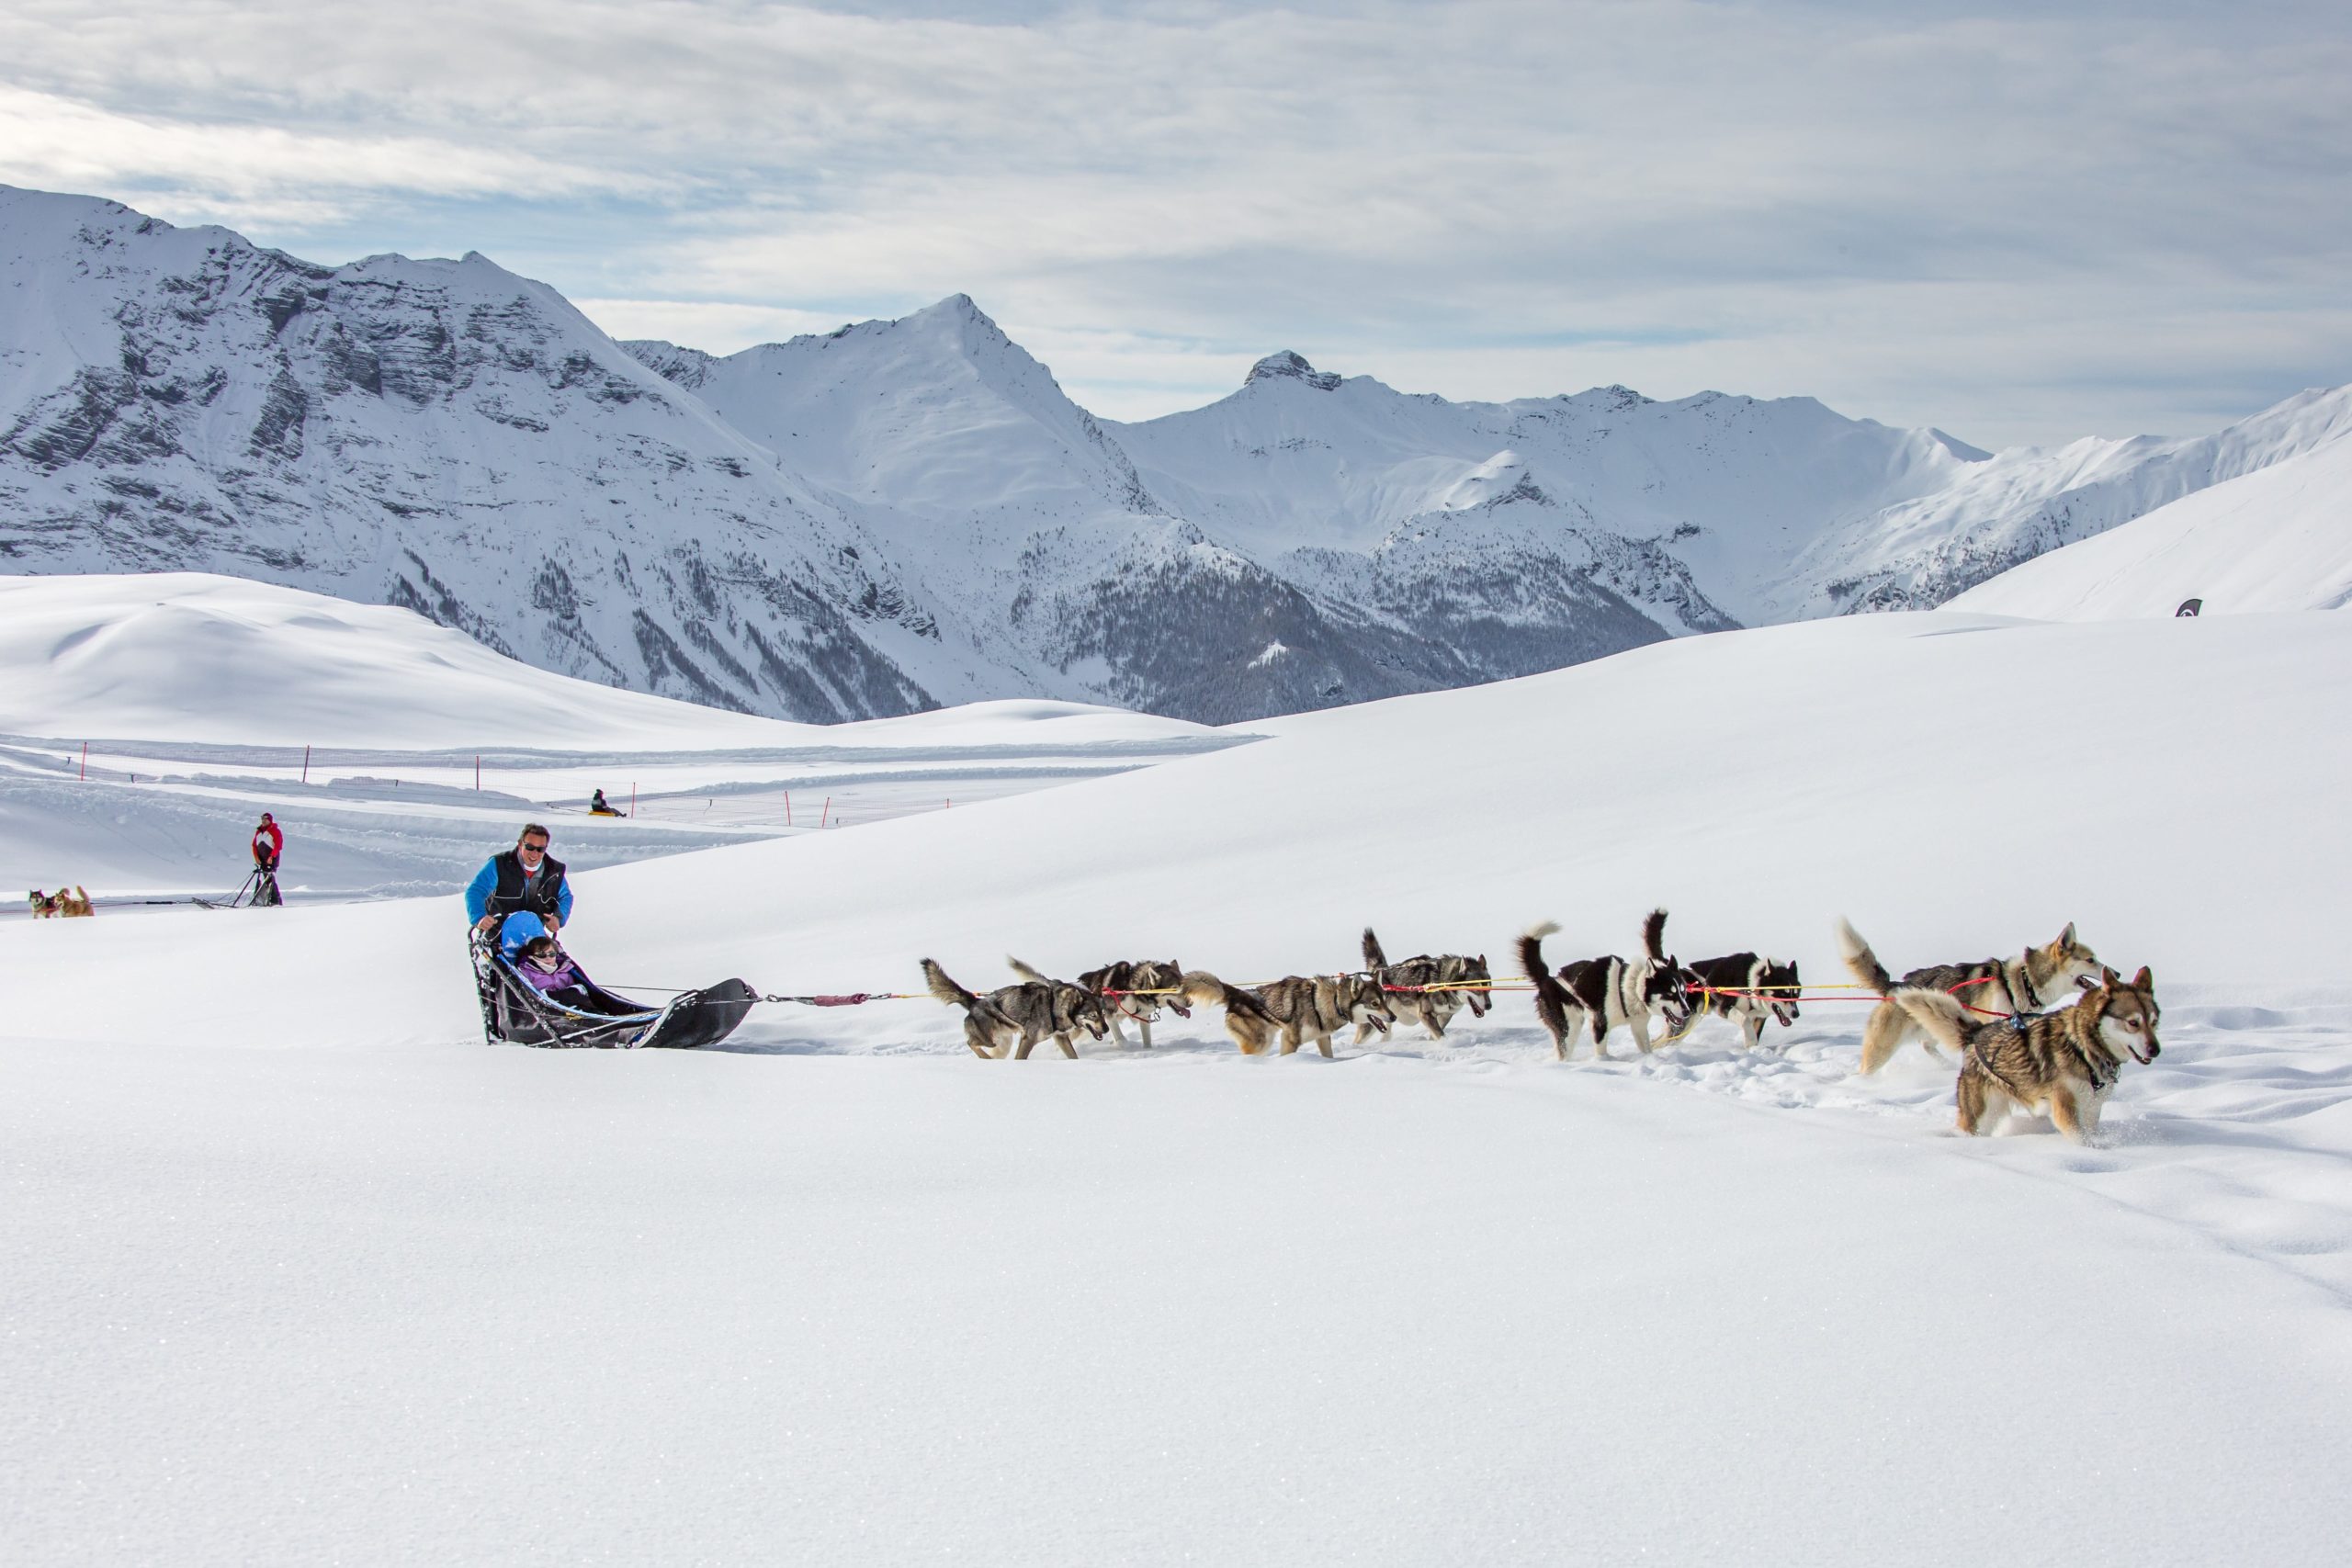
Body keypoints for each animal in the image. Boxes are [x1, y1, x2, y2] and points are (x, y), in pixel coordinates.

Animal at [917, 949, 1110, 1062]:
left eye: (1102, 1013)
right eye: (1093, 1015)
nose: (1107, 1029)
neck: (1055, 1006)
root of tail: (975, 1002)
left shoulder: (1060, 1038)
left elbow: (1073, 1056)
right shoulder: (1028, 1039)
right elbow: (1020, 1058)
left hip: (1002, 1043)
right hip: (989, 1039)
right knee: (971, 1043)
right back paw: (984, 1058)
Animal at [1363, 931, 1486, 1043]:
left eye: (1488, 986)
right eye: (1477, 986)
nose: (1488, 1005)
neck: (1442, 981)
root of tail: (1381, 970)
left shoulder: (1445, 1016)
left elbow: (1436, 1033)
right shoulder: (1425, 1015)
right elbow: (1439, 1033)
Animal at [1825, 911, 2107, 1072]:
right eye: (2090, 960)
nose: (2113, 972)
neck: (2024, 981)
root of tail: (1897, 985)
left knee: (1928, 1045)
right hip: (1881, 1049)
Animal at [1882, 968, 2154, 1142]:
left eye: (2153, 1021)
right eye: (2133, 1022)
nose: (2155, 1049)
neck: (2083, 1045)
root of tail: (1976, 1033)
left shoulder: (2091, 1109)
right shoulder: (2065, 1110)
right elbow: (2082, 1139)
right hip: (1981, 1114)